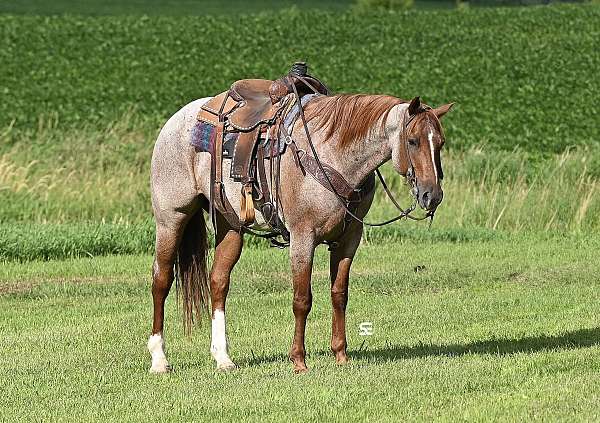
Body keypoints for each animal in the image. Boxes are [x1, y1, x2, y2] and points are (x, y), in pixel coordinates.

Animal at [148, 85, 452, 372]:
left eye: (440, 142)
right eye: (412, 141)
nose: (432, 195)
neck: (333, 154)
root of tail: (175, 121)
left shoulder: (349, 238)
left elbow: (339, 295)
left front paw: (340, 355)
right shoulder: (302, 238)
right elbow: (302, 299)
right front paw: (298, 360)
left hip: (230, 225)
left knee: (218, 281)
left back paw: (223, 358)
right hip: (171, 219)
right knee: (161, 280)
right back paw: (159, 359)